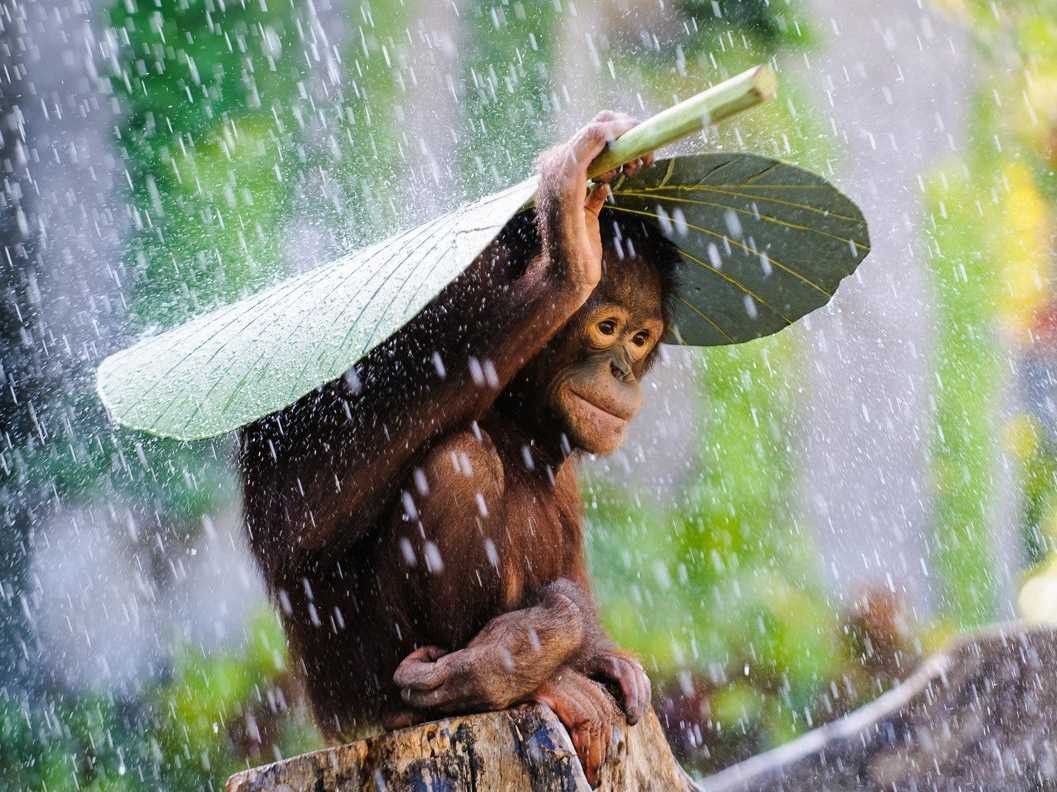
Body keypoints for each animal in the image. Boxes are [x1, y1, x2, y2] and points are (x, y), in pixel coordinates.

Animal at [238, 111, 682, 784]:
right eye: (606, 327)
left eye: (640, 337)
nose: (622, 372)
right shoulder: (434, 300)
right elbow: (291, 509)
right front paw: (567, 252)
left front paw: (591, 651)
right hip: (366, 686)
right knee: (456, 461)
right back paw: (502, 684)